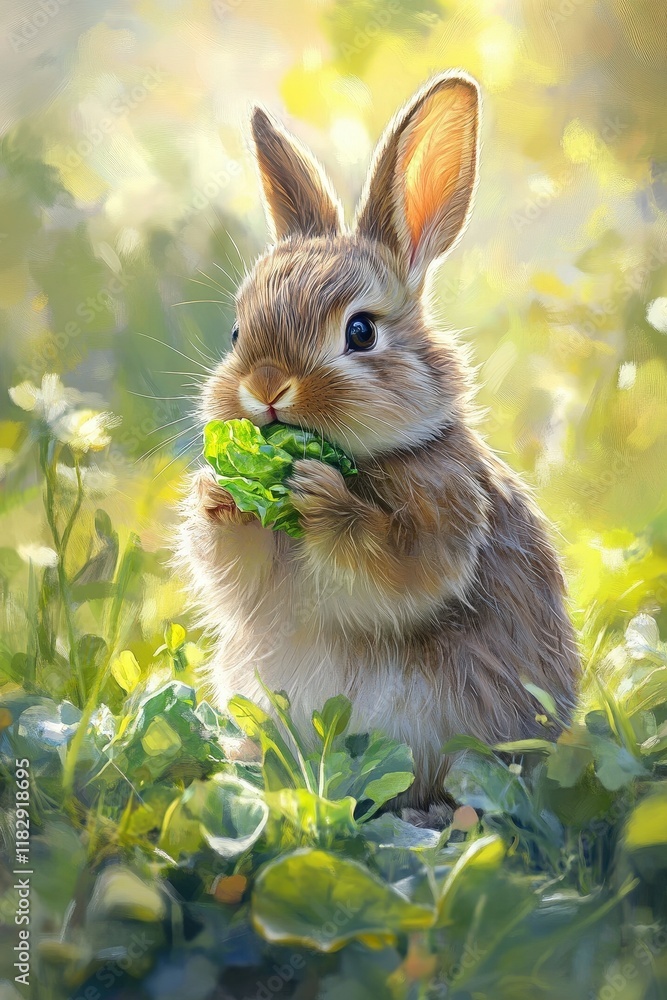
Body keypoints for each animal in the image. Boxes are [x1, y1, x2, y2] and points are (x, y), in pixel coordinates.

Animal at [176, 71, 579, 810]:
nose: (266, 388)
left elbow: (401, 568)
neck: (366, 459)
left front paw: (319, 495)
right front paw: (218, 496)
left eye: (359, 333)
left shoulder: (446, 513)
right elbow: (238, 571)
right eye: (237, 333)